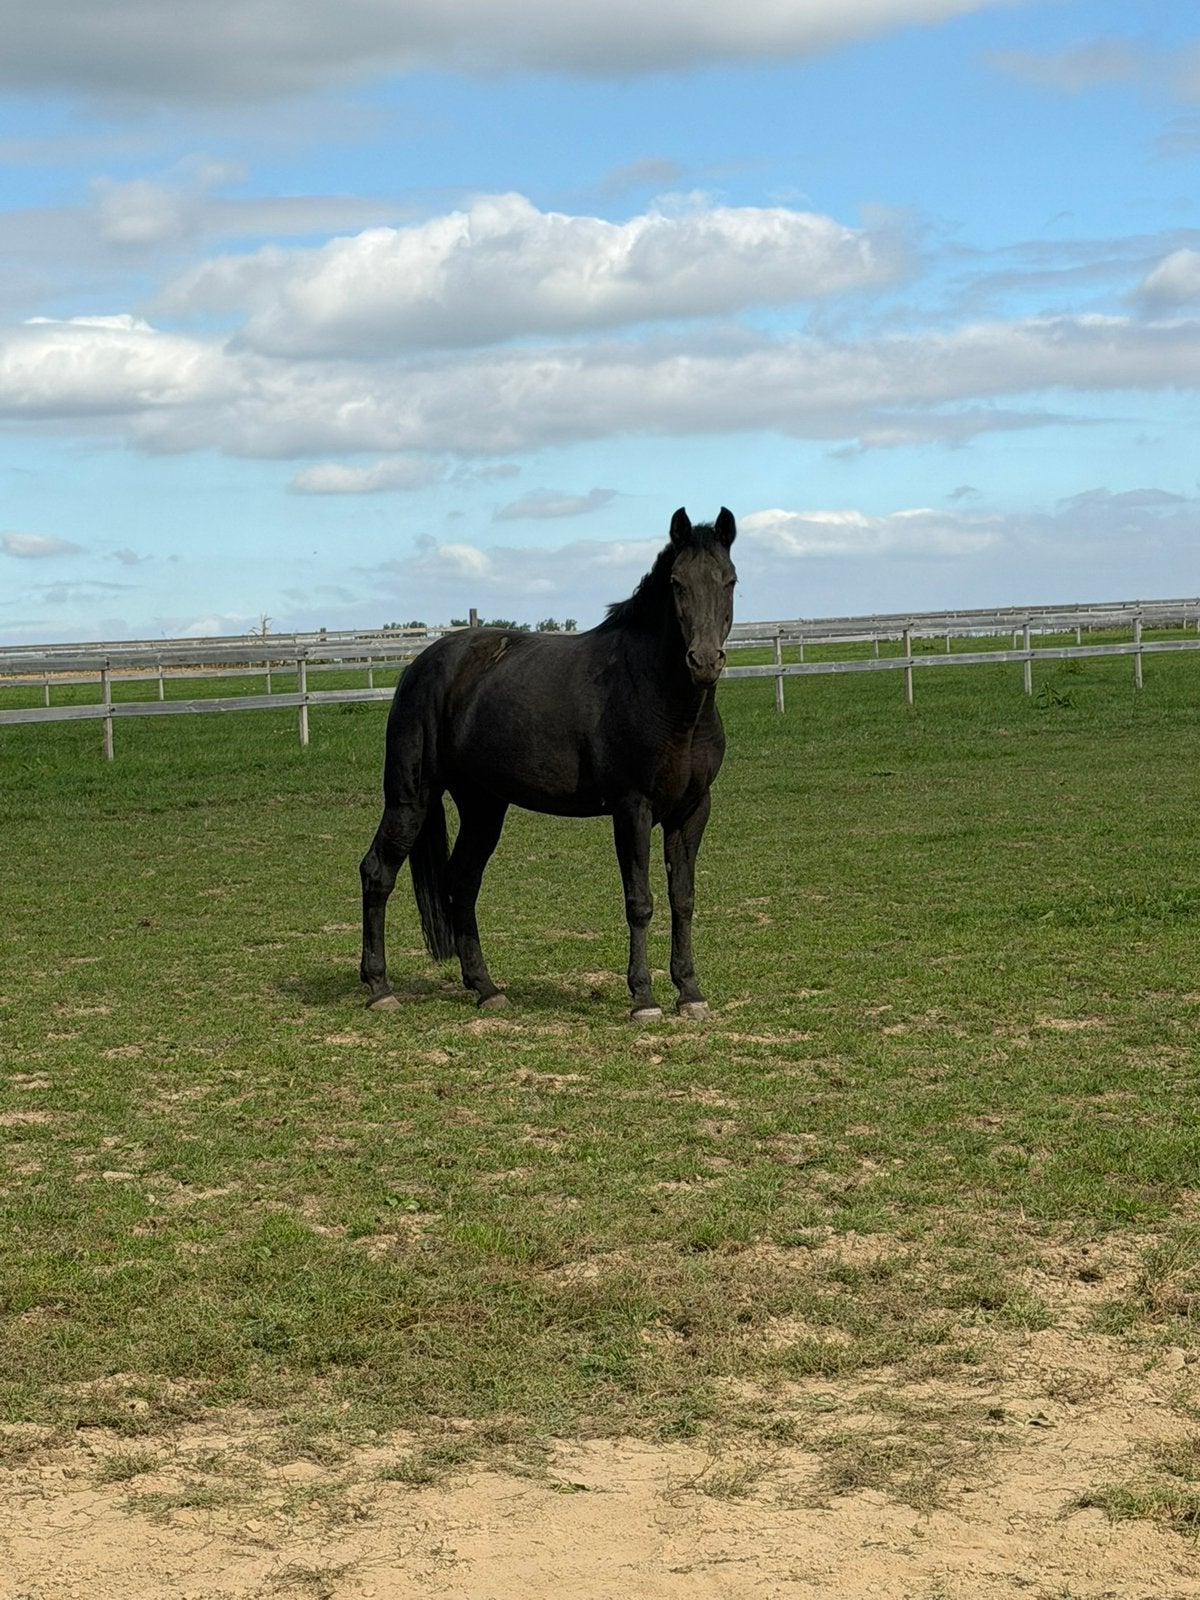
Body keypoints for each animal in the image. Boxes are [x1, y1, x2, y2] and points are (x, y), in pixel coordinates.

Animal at [359, 506, 737, 1019]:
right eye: (677, 583)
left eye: (729, 580)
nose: (704, 661)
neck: (664, 701)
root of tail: (420, 666)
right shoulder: (632, 808)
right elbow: (639, 901)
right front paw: (643, 998)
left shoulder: (693, 810)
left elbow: (683, 900)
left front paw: (691, 993)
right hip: (410, 799)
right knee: (378, 872)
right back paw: (380, 989)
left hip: (484, 806)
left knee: (462, 881)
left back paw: (486, 988)